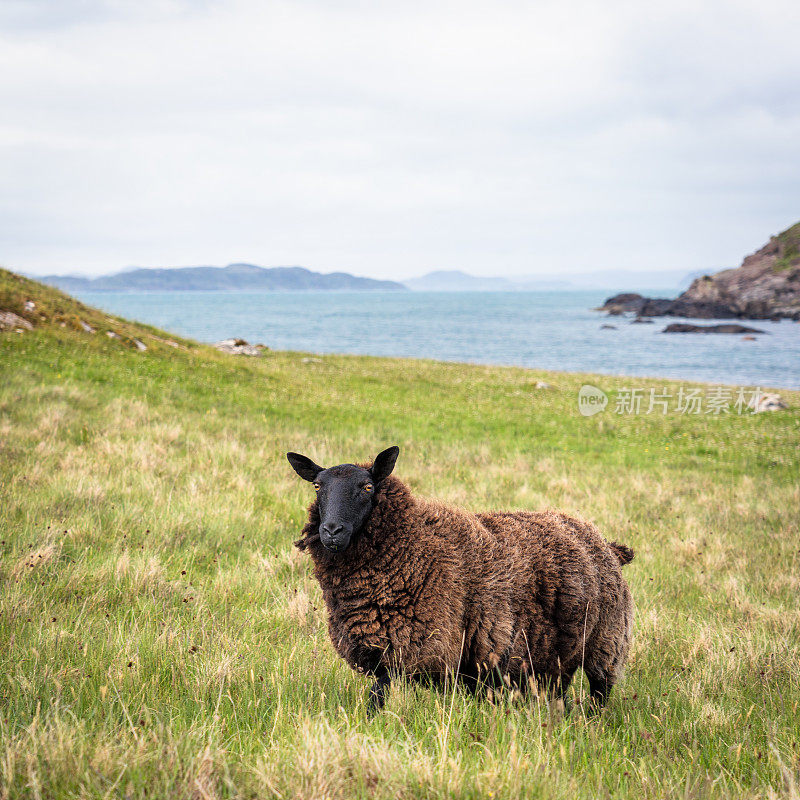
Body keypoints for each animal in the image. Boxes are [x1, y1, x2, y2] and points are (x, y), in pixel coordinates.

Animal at [284, 444, 636, 712]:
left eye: (367, 487)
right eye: (318, 486)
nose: (332, 531)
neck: (411, 546)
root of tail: (602, 540)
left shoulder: (416, 648)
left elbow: (377, 696)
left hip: (607, 641)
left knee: (601, 691)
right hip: (555, 653)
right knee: (557, 689)